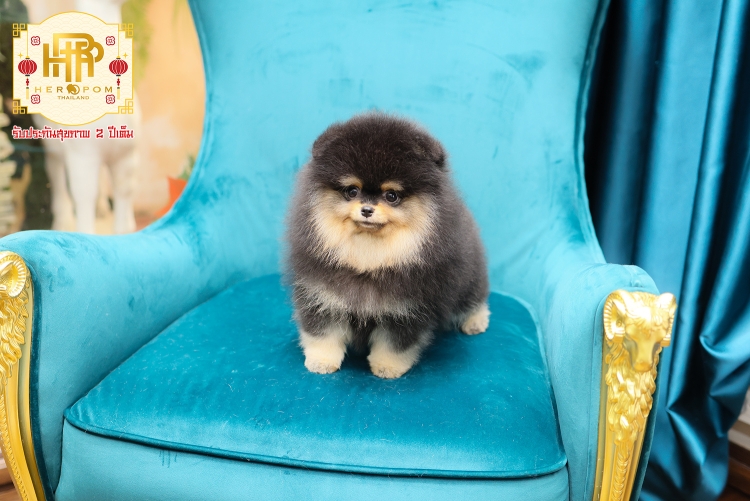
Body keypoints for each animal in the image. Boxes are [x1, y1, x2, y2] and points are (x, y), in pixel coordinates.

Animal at [286, 112, 489, 379]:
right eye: (352, 191)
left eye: (391, 195)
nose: (367, 209)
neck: (369, 259)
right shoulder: (321, 293)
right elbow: (322, 333)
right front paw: (321, 361)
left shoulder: (407, 308)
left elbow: (396, 344)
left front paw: (387, 366)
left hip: (468, 277)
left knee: (473, 297)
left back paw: (476, 320)